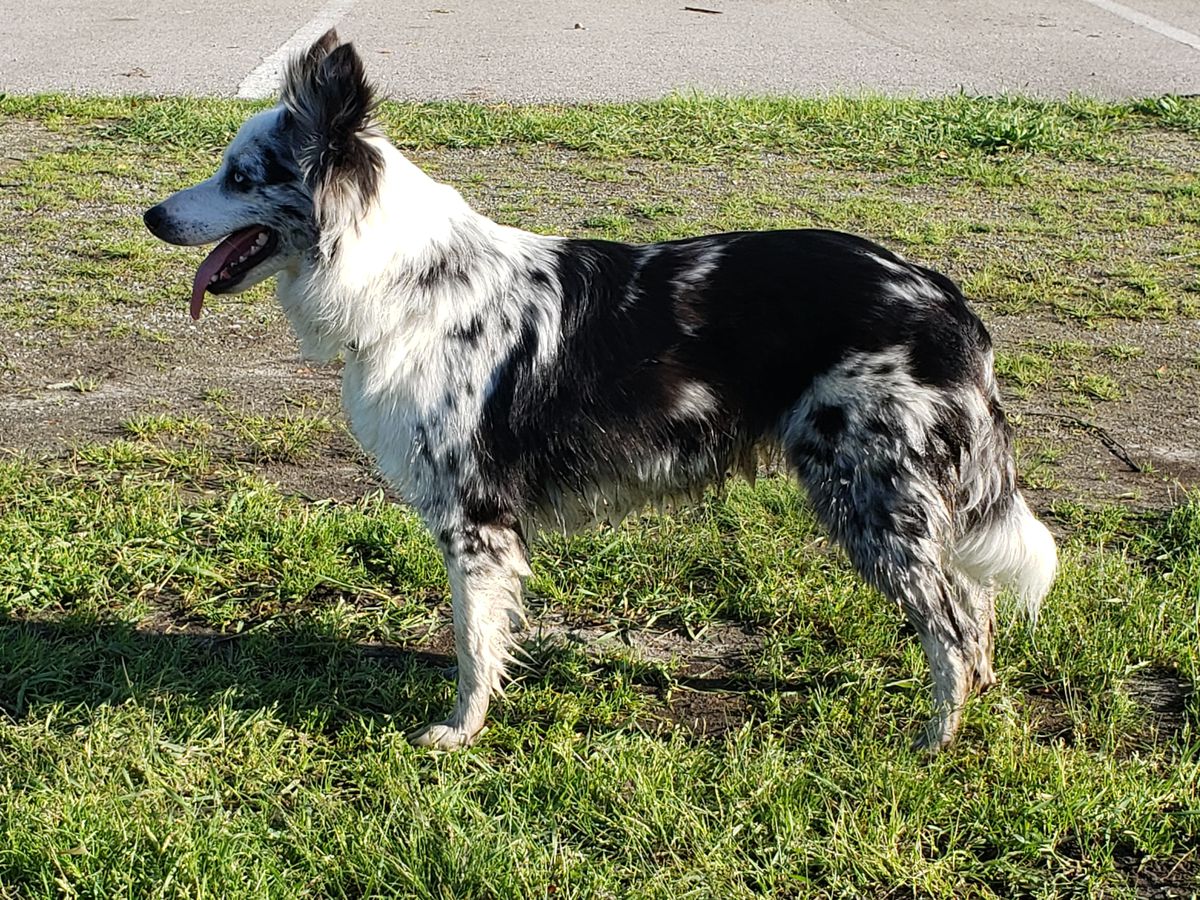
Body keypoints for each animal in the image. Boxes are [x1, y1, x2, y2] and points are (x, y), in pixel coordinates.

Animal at [142, 30, 1060, 753]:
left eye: (241, 177)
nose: (151, 216)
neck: (404, 280)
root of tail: (945, 298)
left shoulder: (474, 518)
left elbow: (472, 642)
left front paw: (460, 733)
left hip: (869, 496)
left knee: (951, 621)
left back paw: (935, 742)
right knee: (974, 605)